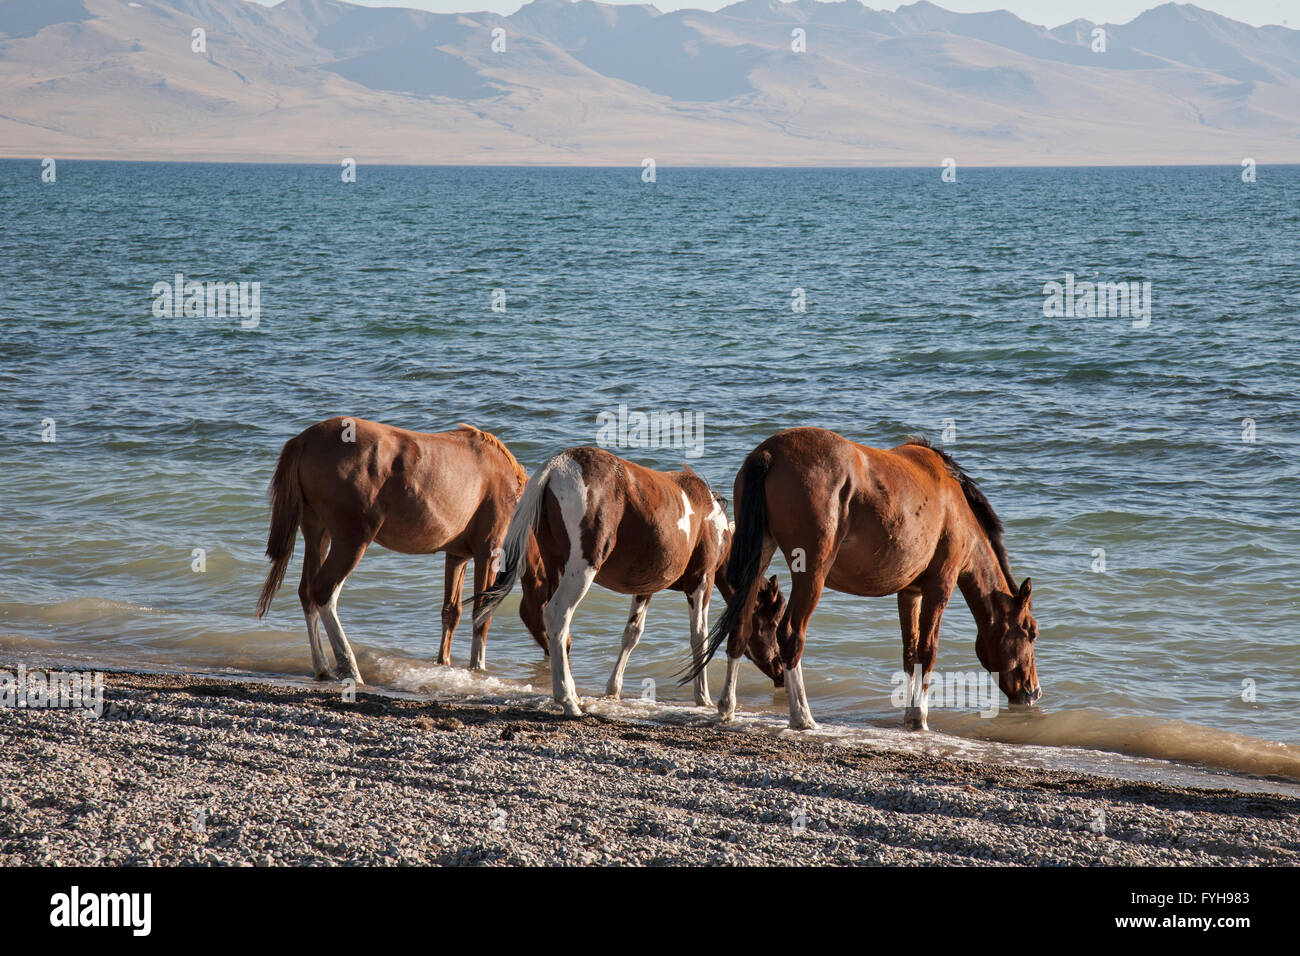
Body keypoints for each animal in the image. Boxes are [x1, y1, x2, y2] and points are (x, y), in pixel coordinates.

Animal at [256, 418, 546, 681]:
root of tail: (305, 439)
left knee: (307, 592)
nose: (554, 648)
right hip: (352, 541)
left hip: (318, 533)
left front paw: (443, 663)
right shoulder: (490, 551)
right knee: (323, 591)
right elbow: (481, 614)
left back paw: (323, 668)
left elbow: (451, 611)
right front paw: (478, 668)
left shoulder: (457, 556)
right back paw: (350, 668)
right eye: (547, 602)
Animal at [478, 444, 780, 712]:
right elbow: (699, 637)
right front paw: (703, 697)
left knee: (554, 625)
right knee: (557, 615)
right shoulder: (701, 581)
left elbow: (631, 634)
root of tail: (557, 466)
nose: (779, 667)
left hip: (556, 567)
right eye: (773, 620)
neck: (711, 520)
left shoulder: (646, 587)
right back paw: (568, 700)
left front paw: (613, 690)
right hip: (582, 569)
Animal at [691, 429, 1045, 733]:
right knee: (791, 635)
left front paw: (909, 714)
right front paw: (920, 718)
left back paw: (726, 708)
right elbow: (928, 651)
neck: (955, 506)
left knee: (740, 628)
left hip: (758, 559)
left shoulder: (910, 593)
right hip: (811, 572)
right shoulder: (939, 588)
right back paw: (802, 717)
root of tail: (769, 453)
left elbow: (910, 652)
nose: (1034, 691)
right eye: (1031, 632)